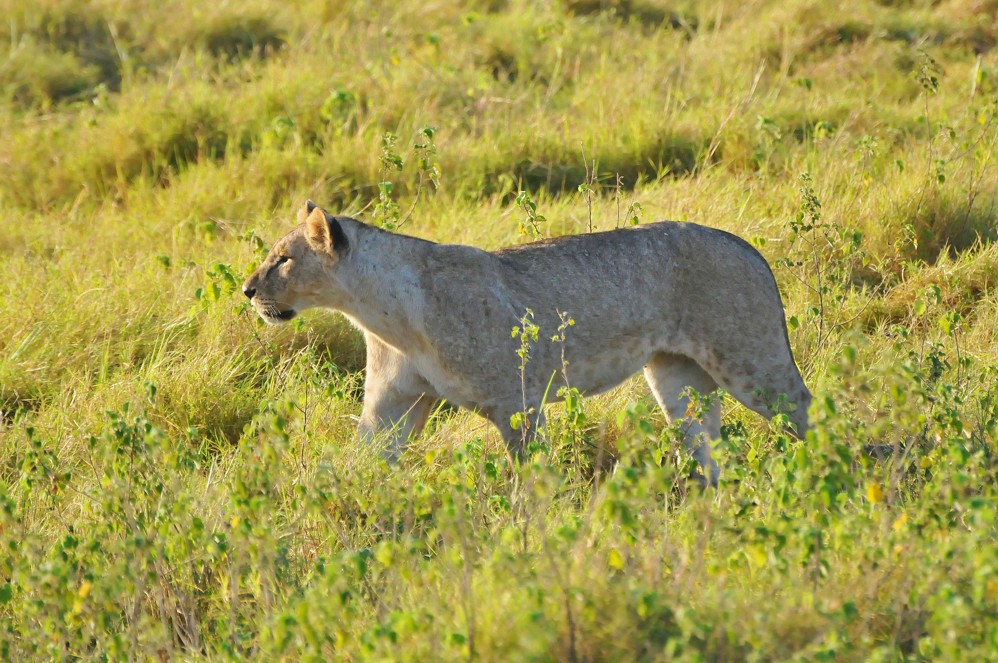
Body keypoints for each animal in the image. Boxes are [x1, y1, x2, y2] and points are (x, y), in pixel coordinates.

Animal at [244, 200, 812, 486]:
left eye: (284, 259)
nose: (247, 290)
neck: (380, 312)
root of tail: (748, 247)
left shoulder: (516, 400)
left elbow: (531, 477)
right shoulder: (391, 405)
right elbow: (364, 458)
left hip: (751, 362)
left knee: (804, 408)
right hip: (676, 373)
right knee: (704, 446)